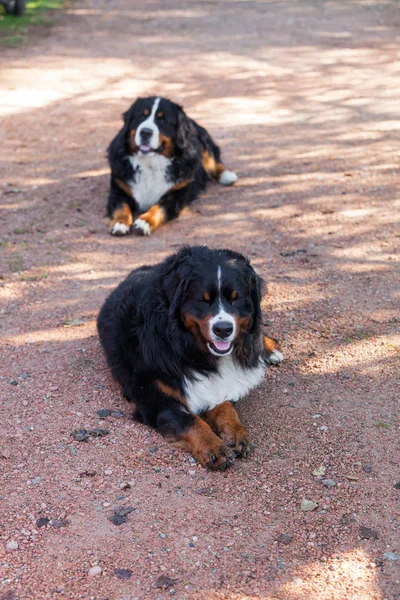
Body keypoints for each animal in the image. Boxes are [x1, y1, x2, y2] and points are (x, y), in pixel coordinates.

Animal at [97, 246, 284, 472]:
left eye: (235, 298)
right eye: (203, 300)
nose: (223, 329)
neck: (185, 345)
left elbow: (225, 408)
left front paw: (236, 431)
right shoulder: (156, 400)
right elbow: (191, 421)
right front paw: (213, 447)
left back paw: (270, 349)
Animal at [105, 95, 238, 236]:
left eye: (162, 120)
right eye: (141, 116)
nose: (145, 132)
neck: (151, 163)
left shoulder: (176, 195)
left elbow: (159, 208)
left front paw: (146, 221)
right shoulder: (119, 190)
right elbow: (122, 207)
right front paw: (120, 223)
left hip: (204, 146)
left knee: (214, 161)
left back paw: (227, 176)